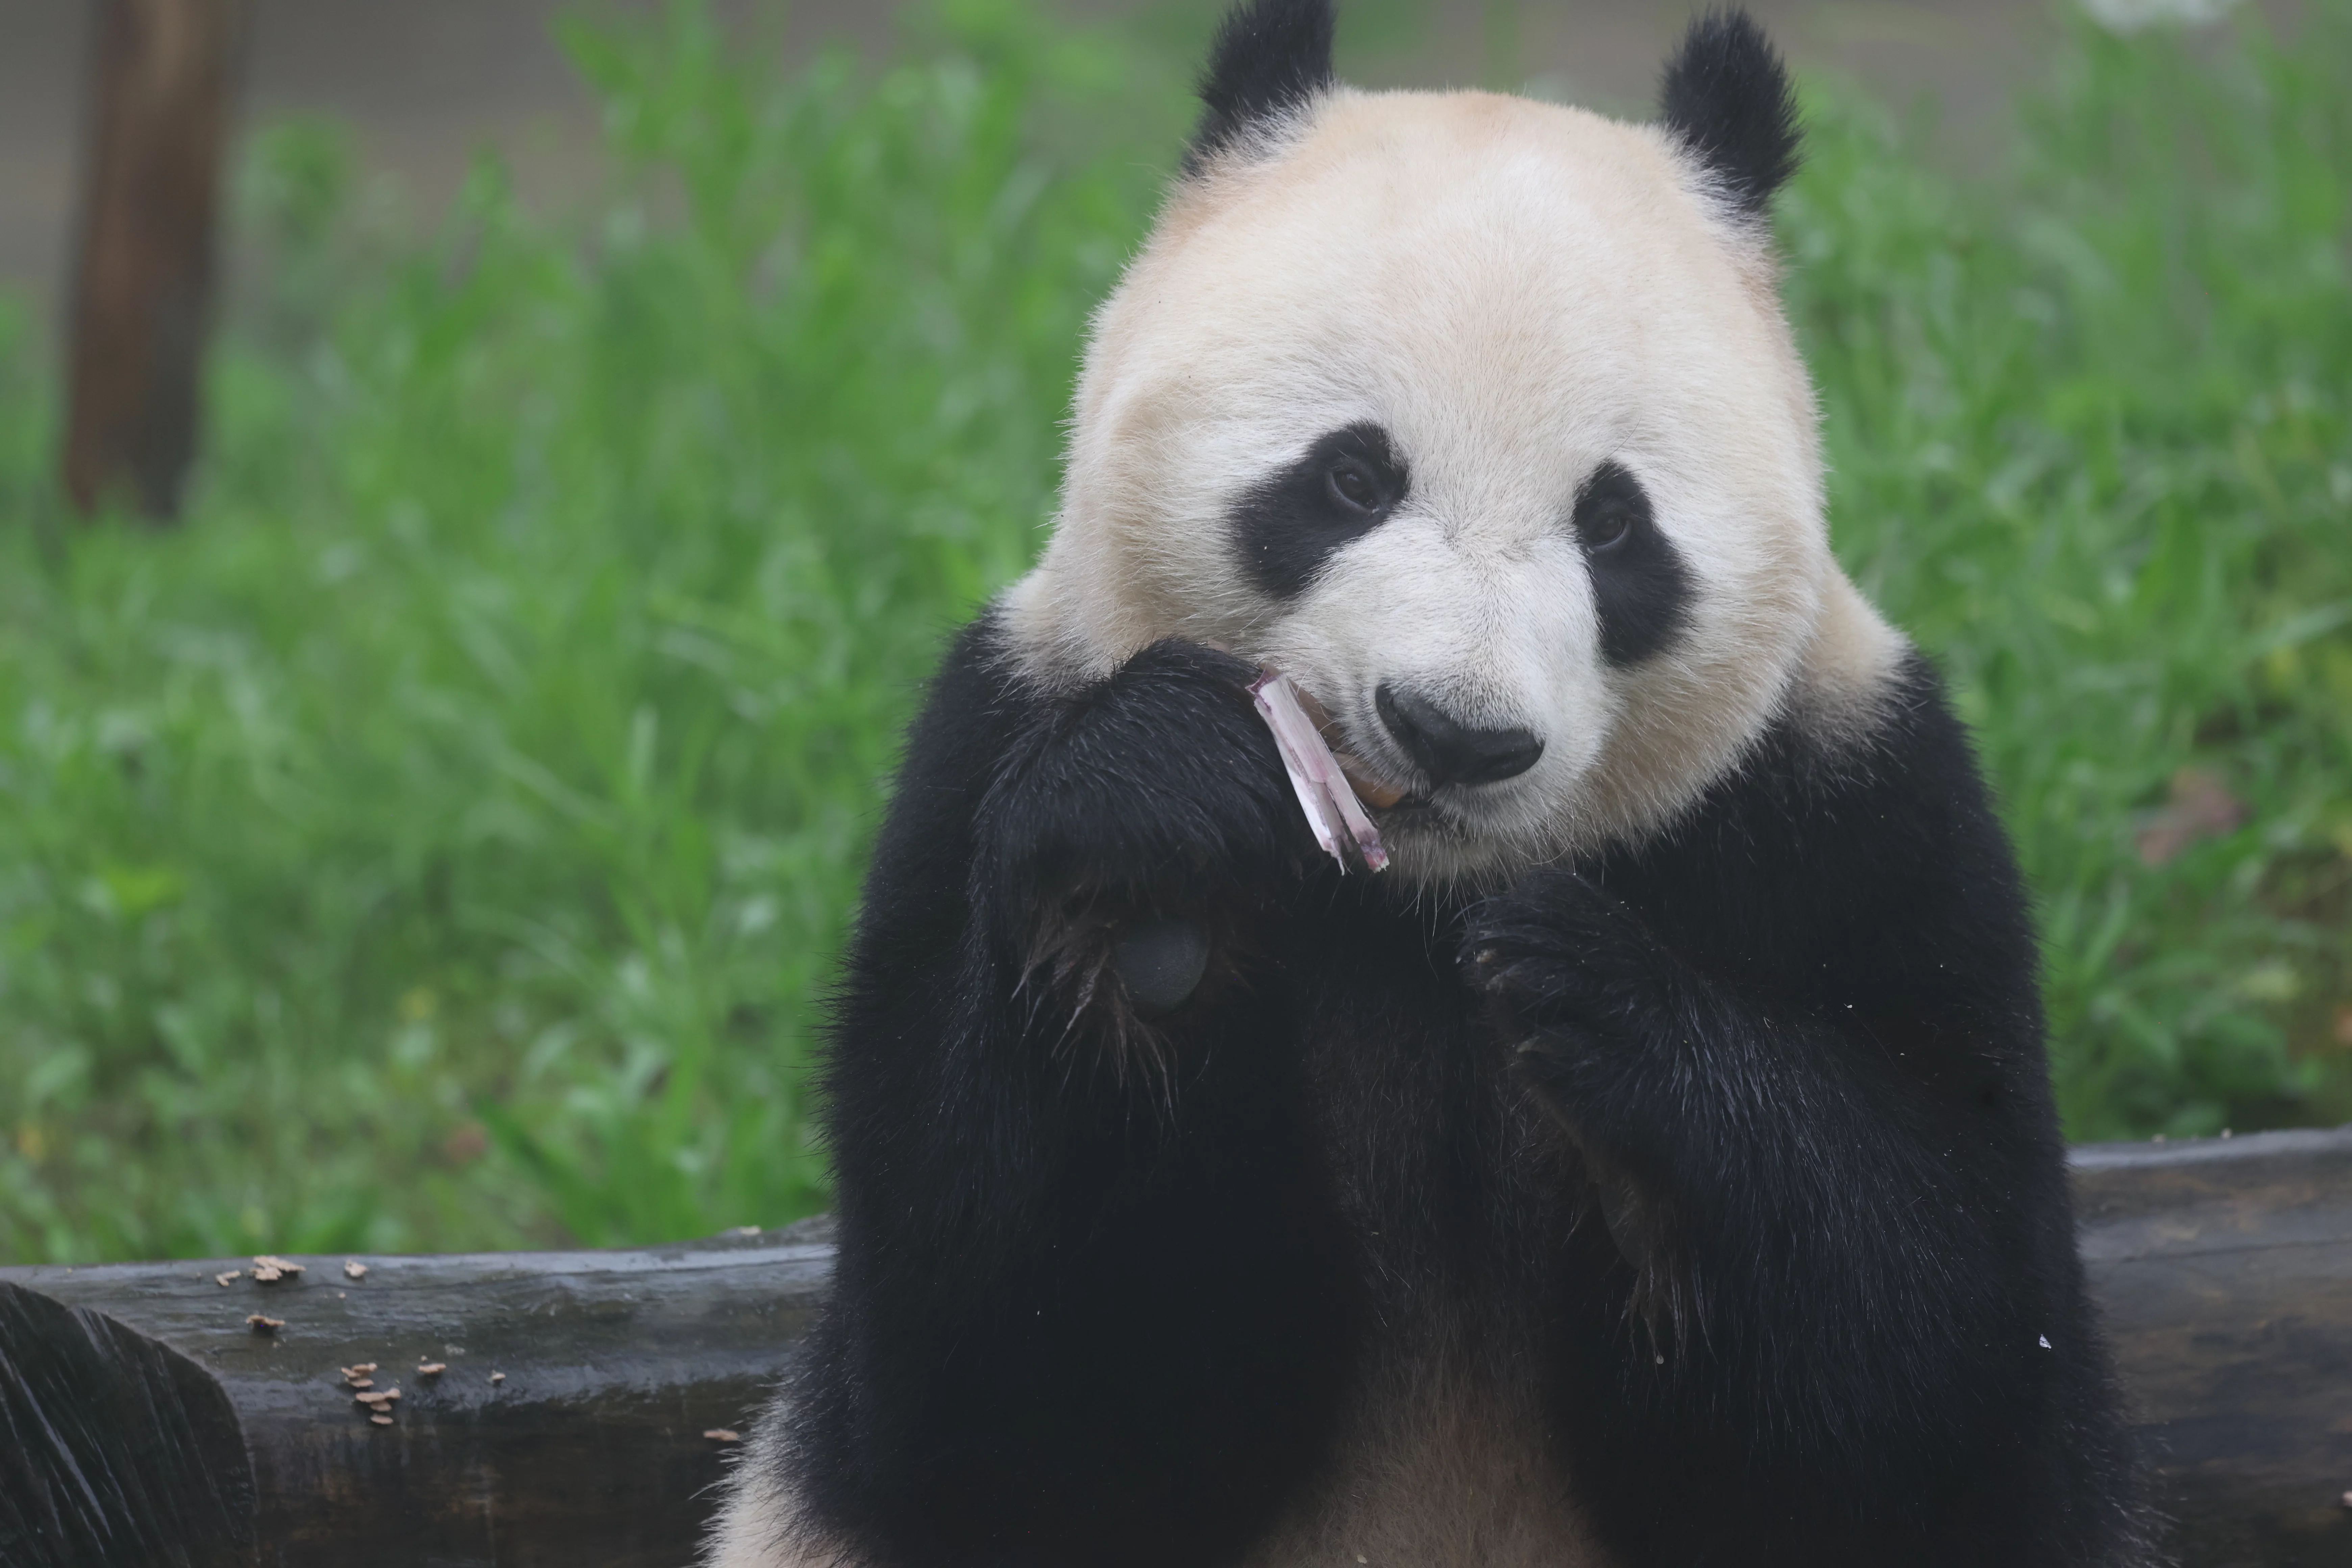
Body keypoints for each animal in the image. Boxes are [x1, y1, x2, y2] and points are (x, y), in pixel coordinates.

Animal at [708, 3, 2151, 1565]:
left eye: (1613, 522)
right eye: (1351, 477)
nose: (1454, 733)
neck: (1420, 905)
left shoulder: (1863, 813)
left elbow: (1950, 1375)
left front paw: (1595, 1002)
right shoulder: (985, 736)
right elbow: (1000, 1398)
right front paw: (1154, 858)